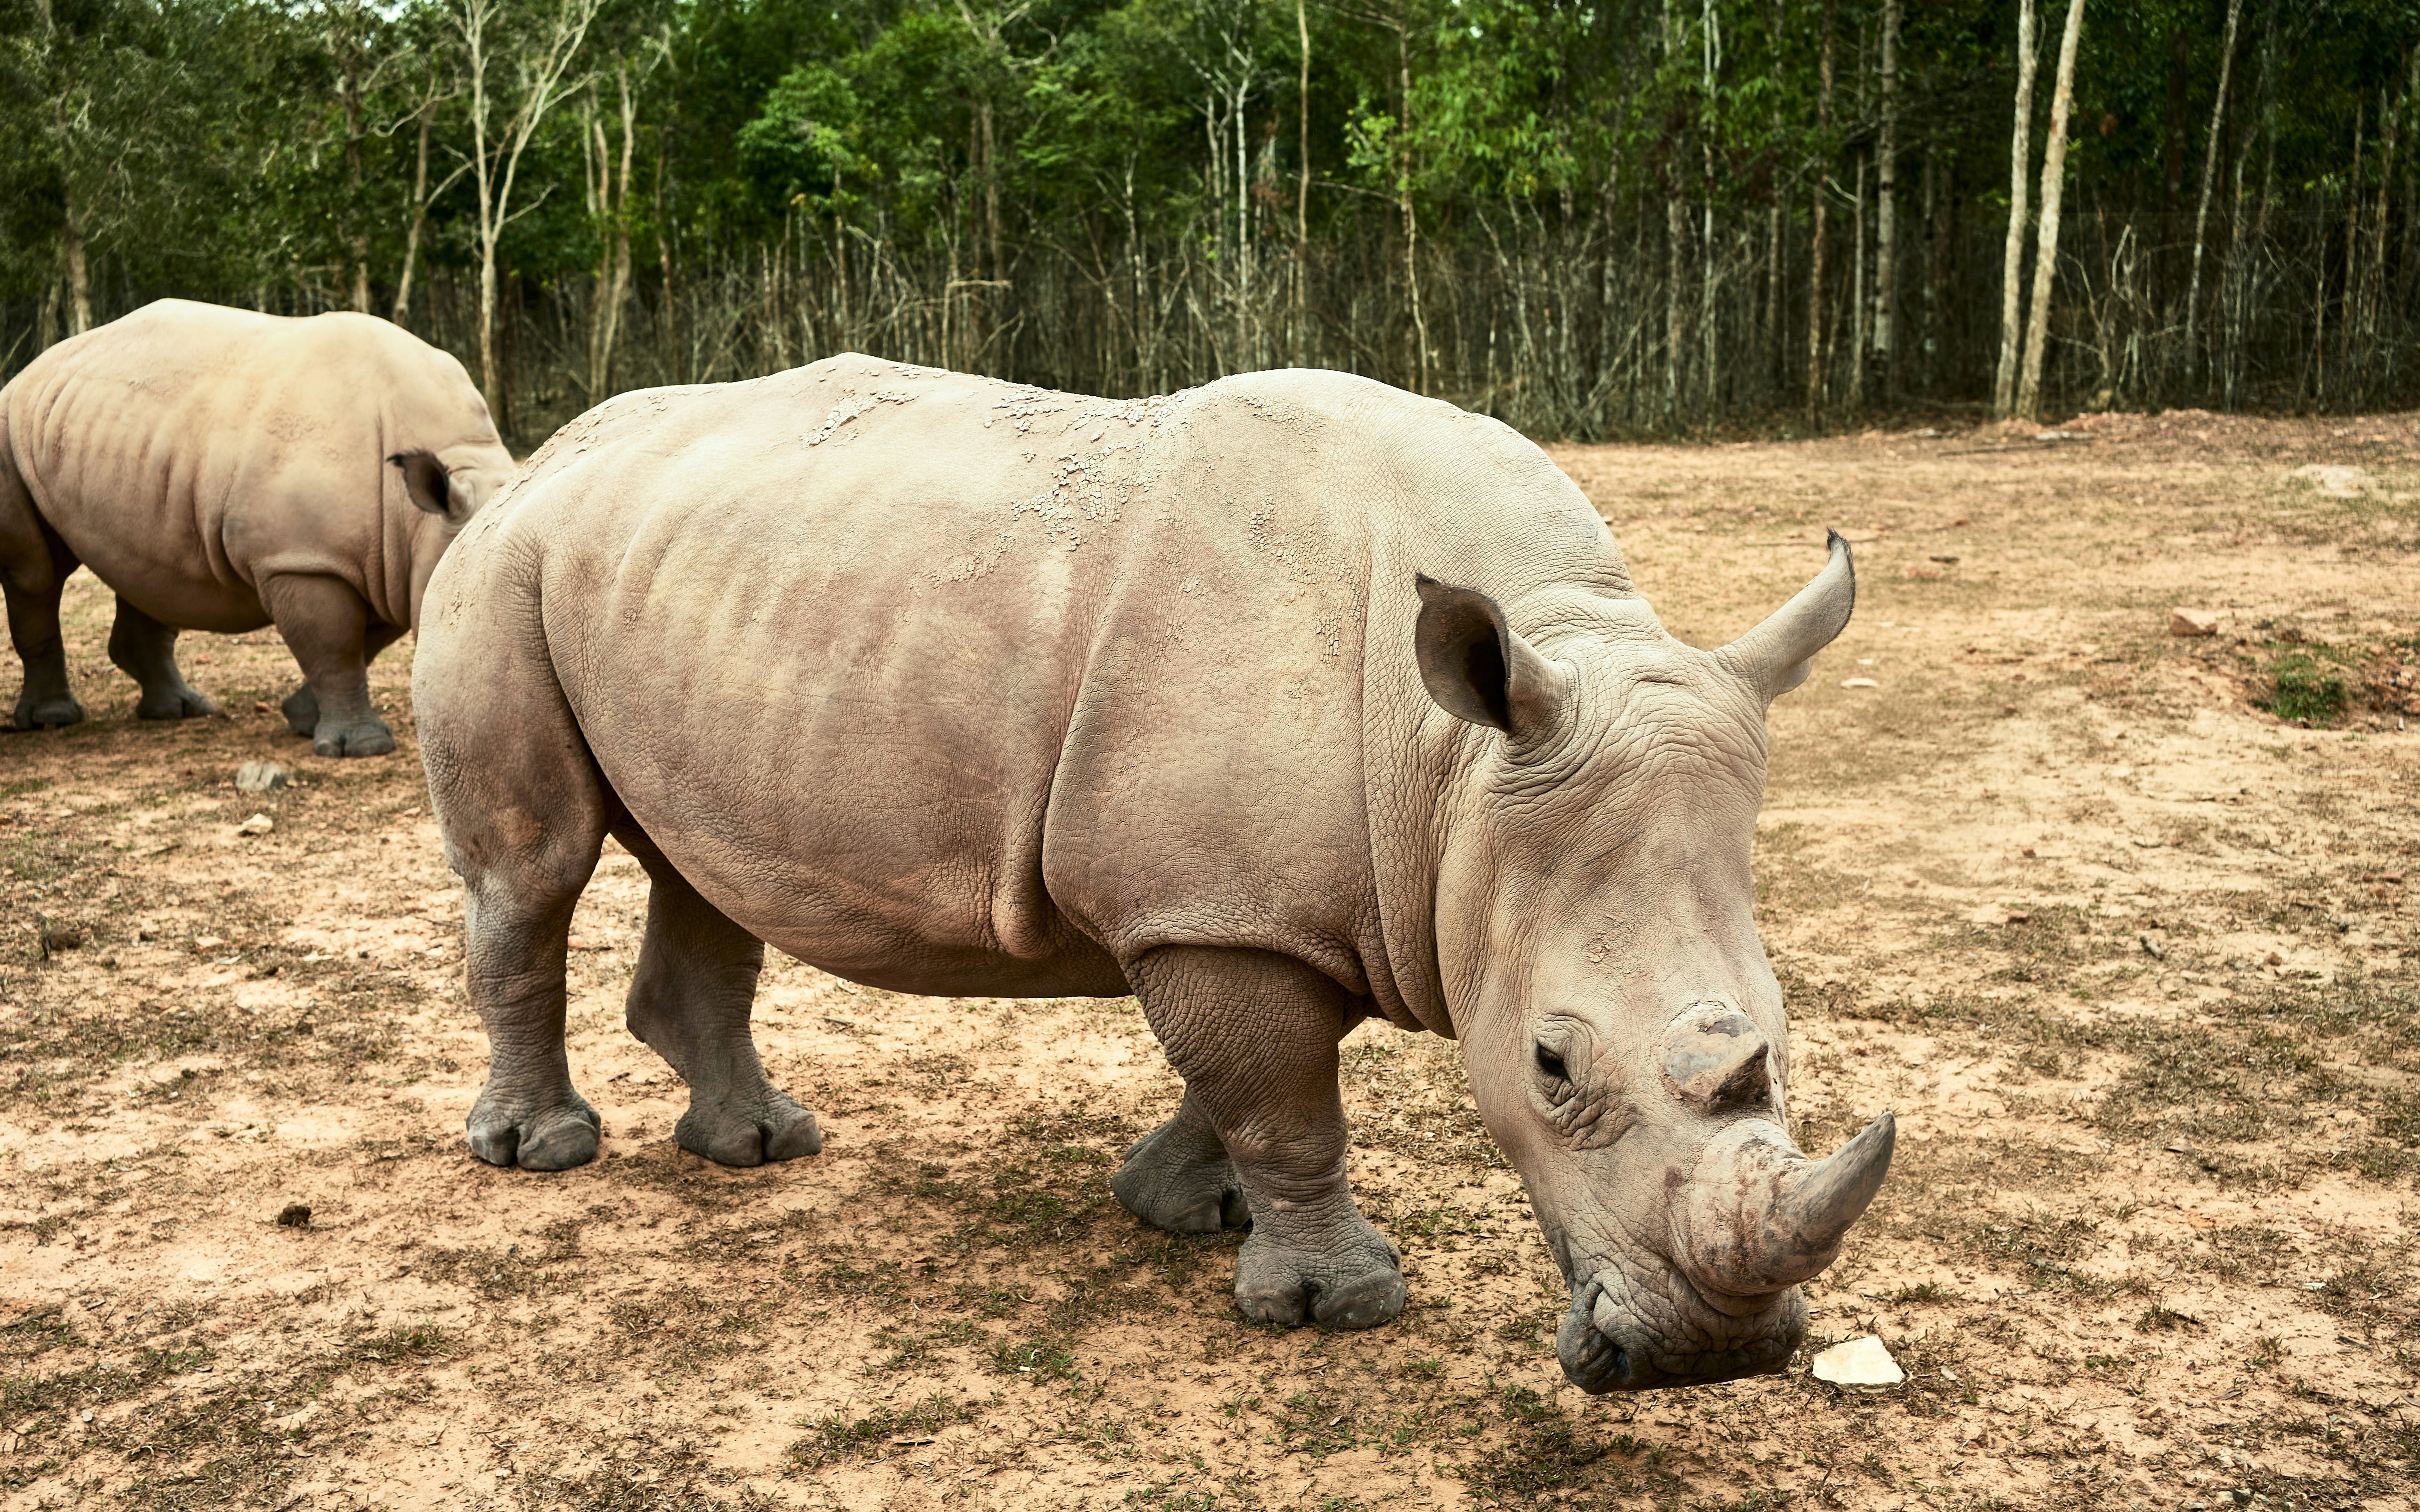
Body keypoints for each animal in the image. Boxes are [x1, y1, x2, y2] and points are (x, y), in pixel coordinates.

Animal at [0, 298, 516, 754]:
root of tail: (30, 371)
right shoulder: (303, 560)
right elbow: (335, 647)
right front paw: (360, 748)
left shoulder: (387, 564)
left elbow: (362, 642)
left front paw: (303, 719)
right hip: (9, 424)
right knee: (37, 574)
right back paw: (54, 720)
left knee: (144, 567)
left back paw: (179, 710)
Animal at [413, 355, 1893, 1392]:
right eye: (1551, 1065)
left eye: (1777, 1035)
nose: (1709, 1357)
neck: (1458, 766)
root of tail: (541, 459)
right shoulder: (1218, 913)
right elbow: (1284, 1094)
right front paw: (1334, 1304)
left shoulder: (1264, 900)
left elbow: (1250, 1076)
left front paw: (1185, 1208)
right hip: (498, 571)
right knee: (536, 871)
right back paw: (544, 1153)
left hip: (668, 585)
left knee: (697, 865)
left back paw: (759, 1145)